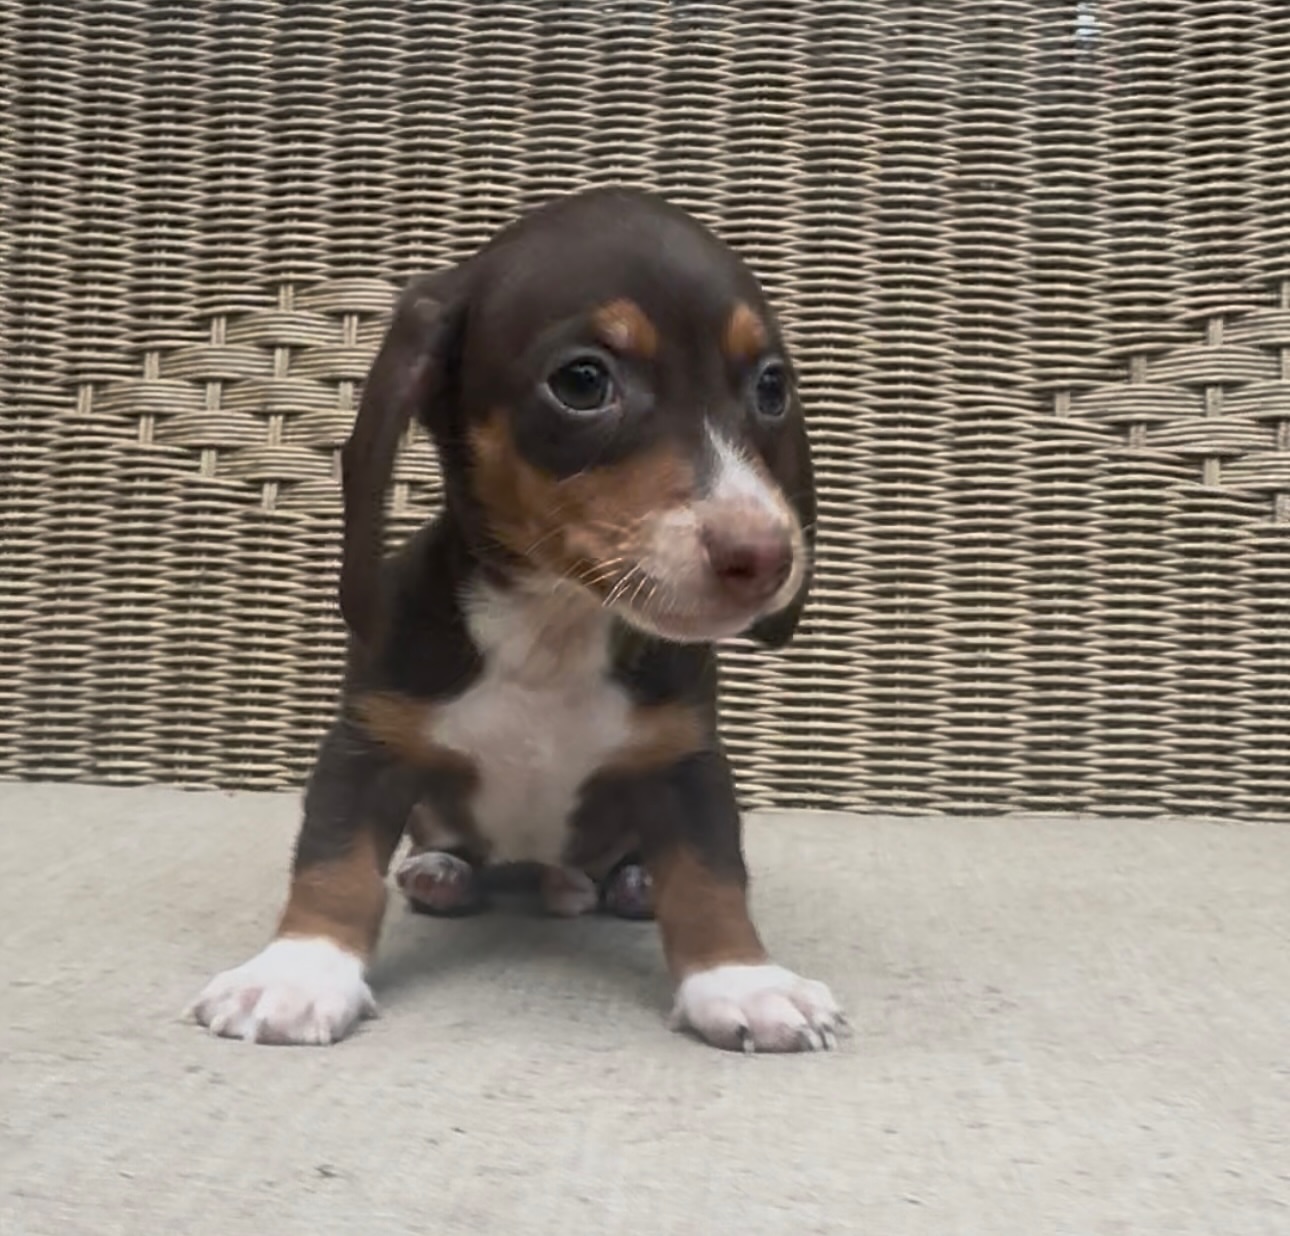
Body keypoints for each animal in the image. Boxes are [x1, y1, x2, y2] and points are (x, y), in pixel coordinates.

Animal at [189, 186, 842, 1053]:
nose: (764, 556)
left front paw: (742, 980)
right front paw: (299, 971)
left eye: (771, 388)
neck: (554, 624)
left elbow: (711, 874)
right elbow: (333, 860)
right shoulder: (368, 744)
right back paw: (442, 872)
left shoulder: (685, 761)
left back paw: (634, 882)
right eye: (583, 381)